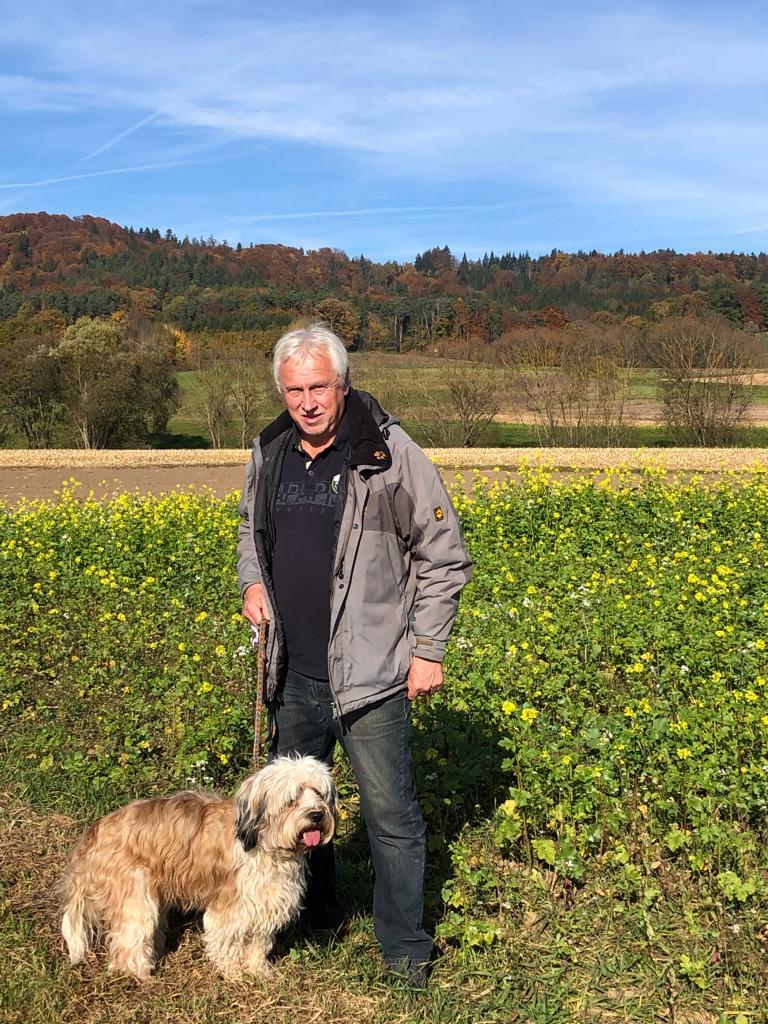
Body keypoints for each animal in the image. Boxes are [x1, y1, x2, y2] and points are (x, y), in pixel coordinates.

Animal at [60, 755, 337, 981]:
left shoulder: (264, 904)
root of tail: (94, 833)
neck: (263, 843)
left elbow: (257, 943)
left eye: (318, 793)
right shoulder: (230, 907)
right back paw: (140, 975)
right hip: (135, 898)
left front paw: (257, 970)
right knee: (129, 940)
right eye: (292, 799)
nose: (316, 814)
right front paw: (234, 973)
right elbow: (227, 941)